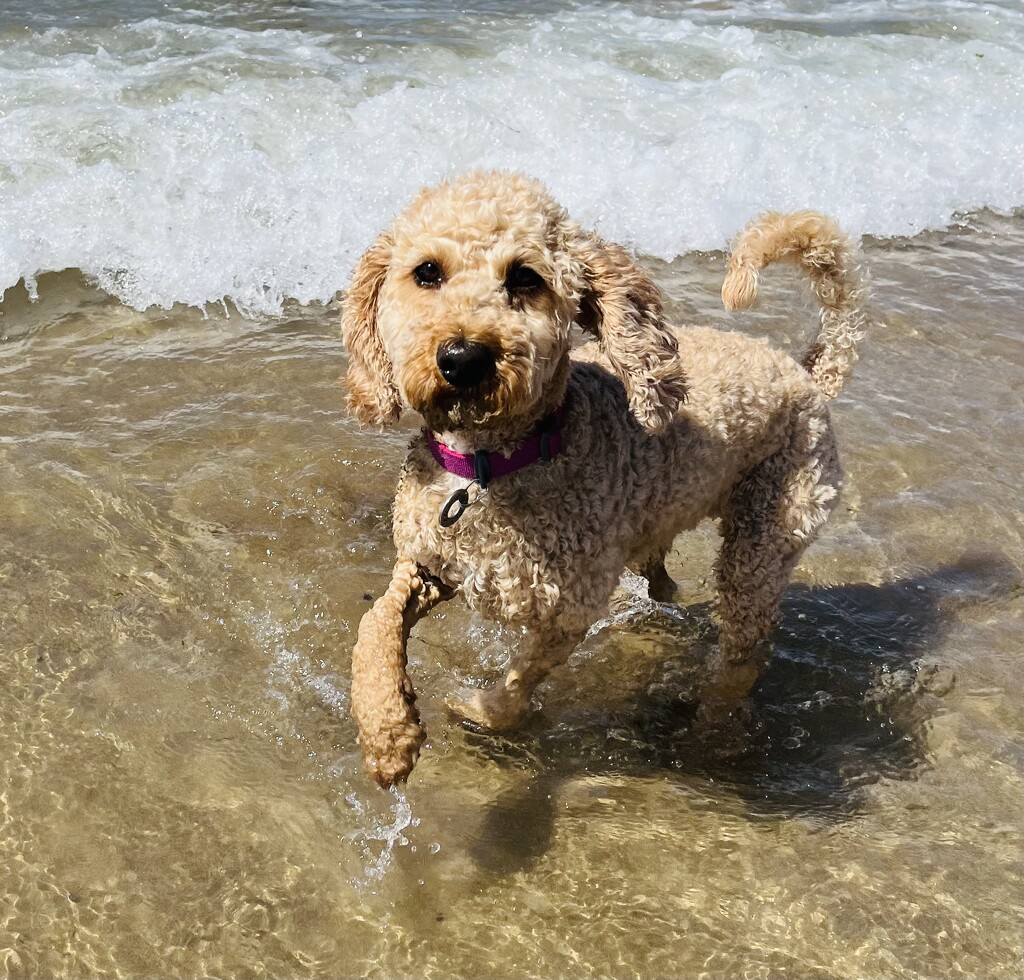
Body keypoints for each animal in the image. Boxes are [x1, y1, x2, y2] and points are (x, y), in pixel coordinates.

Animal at [344, 169, 864, 786]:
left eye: (524, 277)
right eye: (427, 272)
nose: (463, 358)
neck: (490, 469)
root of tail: (805, 373)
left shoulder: (570, 610)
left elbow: (520, 679)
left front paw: (481, 711)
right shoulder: (425, 564)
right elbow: (375, 622)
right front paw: (386, 731)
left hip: (764, 544)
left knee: (742, 655)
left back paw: (708, 732)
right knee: (662, 573)